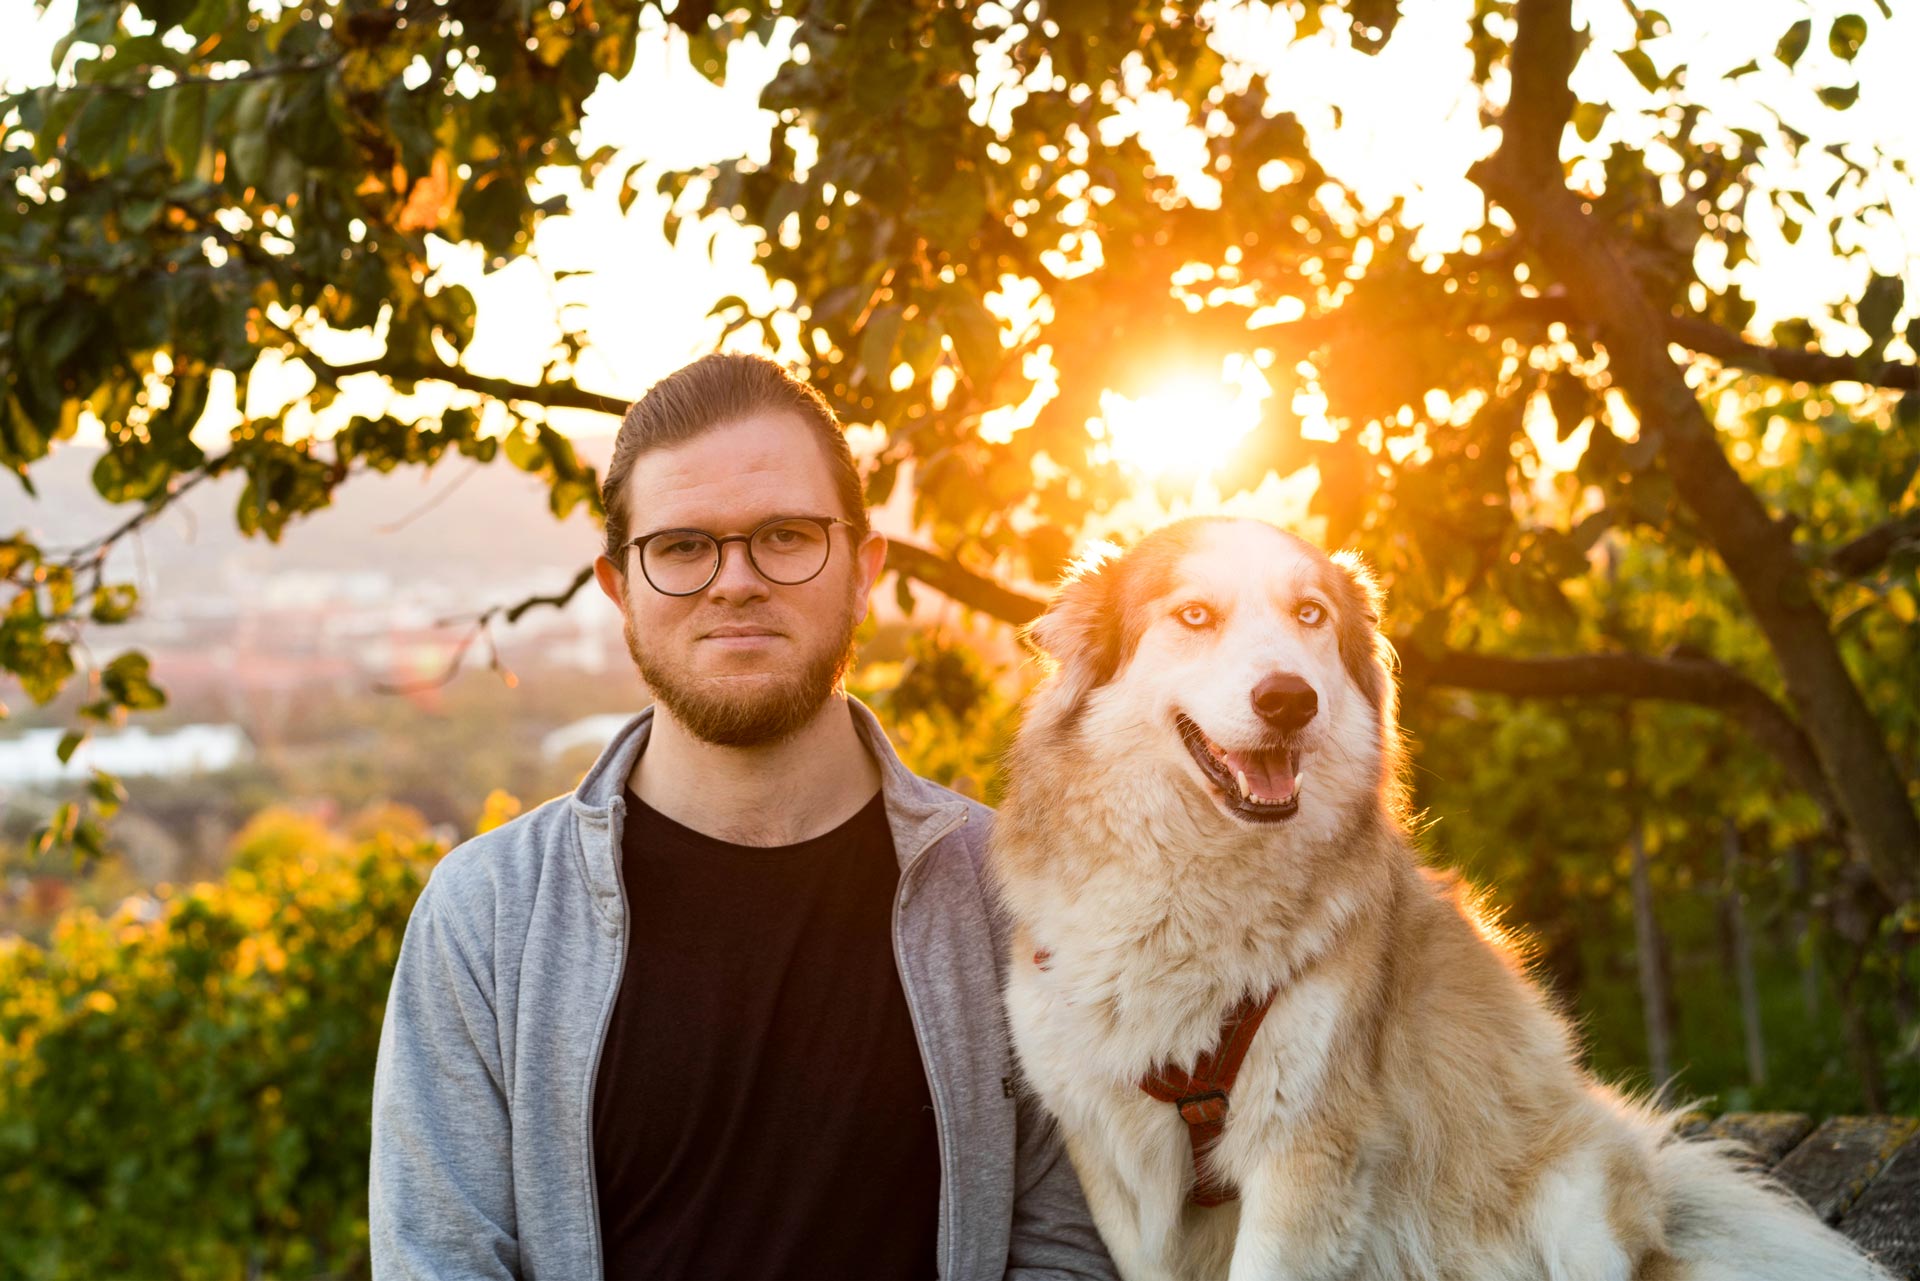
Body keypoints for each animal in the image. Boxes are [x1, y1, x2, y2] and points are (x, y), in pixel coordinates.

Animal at [990, 514, 1889, 1281]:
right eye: (1195, 615)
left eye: (1310, 614)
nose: (1289, 699)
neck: (1192, 888)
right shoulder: (1113, 1162)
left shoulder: (1303, 1149)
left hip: (1574, 1193)